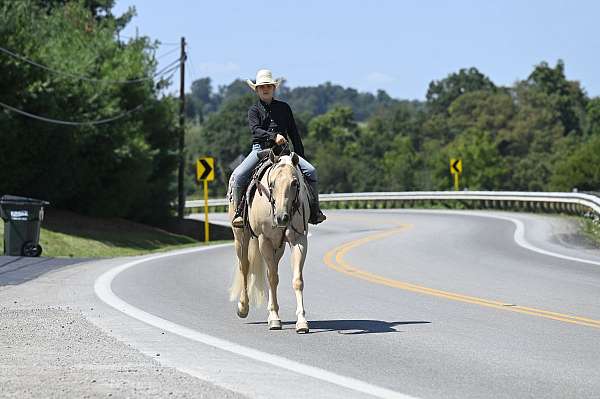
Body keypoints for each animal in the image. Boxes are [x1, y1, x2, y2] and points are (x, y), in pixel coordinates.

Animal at [229, 152, 312, 332]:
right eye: (272, 183)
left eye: (295, 183)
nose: (282, 218)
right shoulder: (264, 240)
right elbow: (272, 278)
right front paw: (274, 318)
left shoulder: (299, 240)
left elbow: (297, 280)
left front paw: (302, 321)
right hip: (241, 238)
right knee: (244, 267)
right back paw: (243, 307)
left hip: (278, 247)